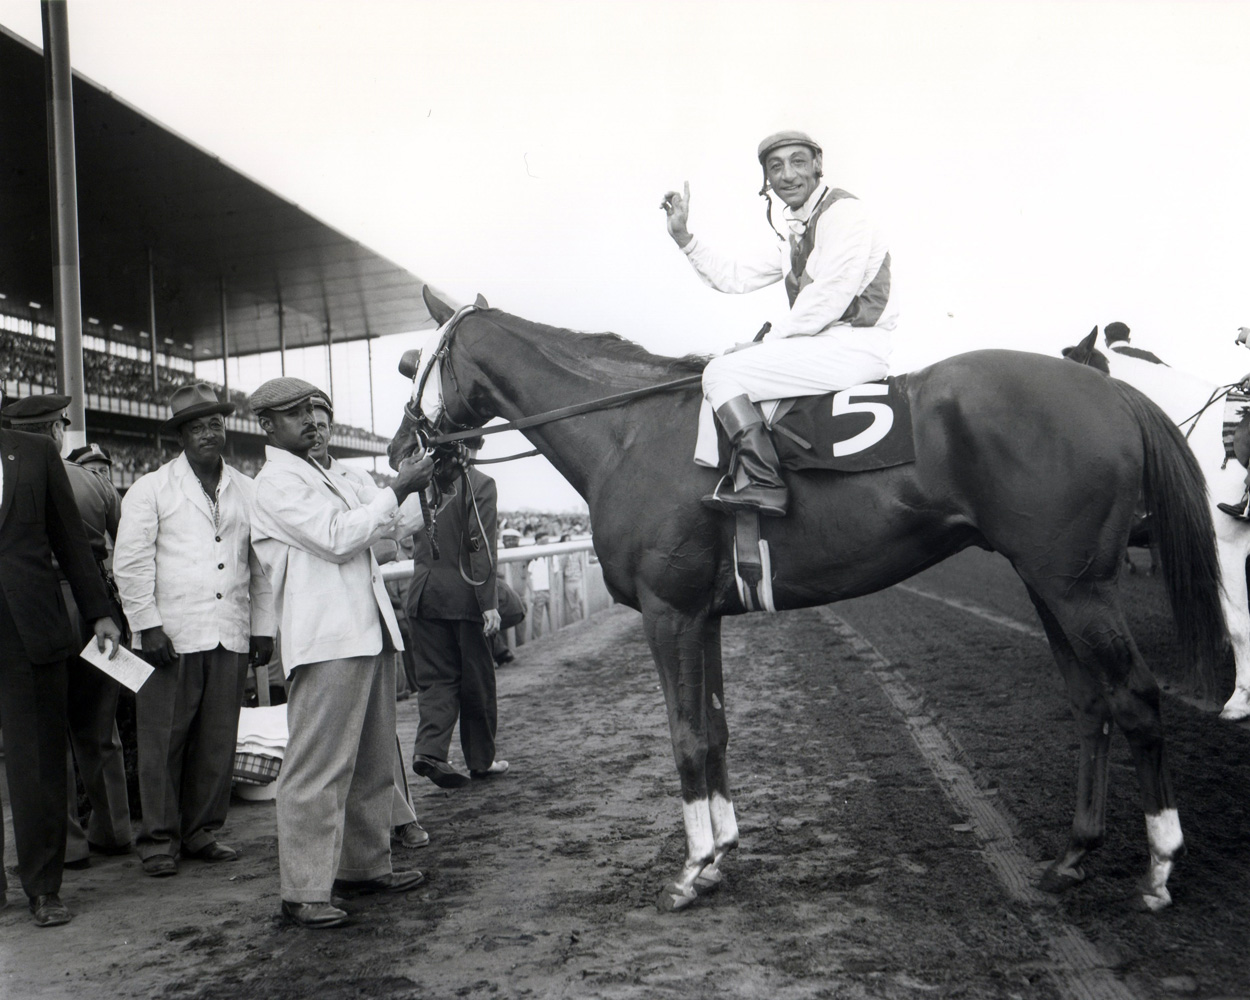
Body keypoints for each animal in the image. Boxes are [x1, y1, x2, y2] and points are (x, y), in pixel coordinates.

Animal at [400, 288, 1230, 915]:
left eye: (415, 360)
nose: (402, 452)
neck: (629, 434)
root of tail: (1110, 389)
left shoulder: (669, 612)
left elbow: (685, 736)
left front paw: (690, 872)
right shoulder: (703, 615)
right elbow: (716, 731)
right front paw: (721, 855)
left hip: (1074, 585)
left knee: (1137, 697)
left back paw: (1159, 869)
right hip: (1046, 579)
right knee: (1091, 704)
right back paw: (1072, 856)